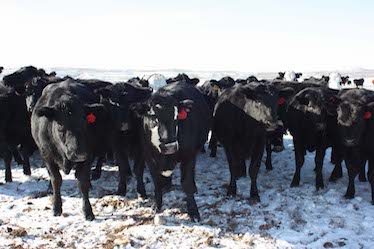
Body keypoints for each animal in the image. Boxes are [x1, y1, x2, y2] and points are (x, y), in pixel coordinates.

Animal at [132, 82, 210, 222]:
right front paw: (156, 205)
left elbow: (187, 183)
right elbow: (156, 181)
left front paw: (193, 212)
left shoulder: (189, 156)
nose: (170, 147)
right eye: (153, 117)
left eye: (176, 117)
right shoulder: (149, 157)